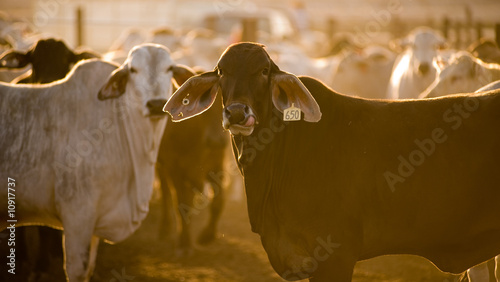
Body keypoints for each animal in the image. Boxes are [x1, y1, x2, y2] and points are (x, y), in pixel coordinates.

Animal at [0, 43, 191, 280]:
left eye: (169, 68)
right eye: (133, 70)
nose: (156, 104)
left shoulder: (92, 229)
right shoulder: (77, 218)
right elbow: (77, 270)